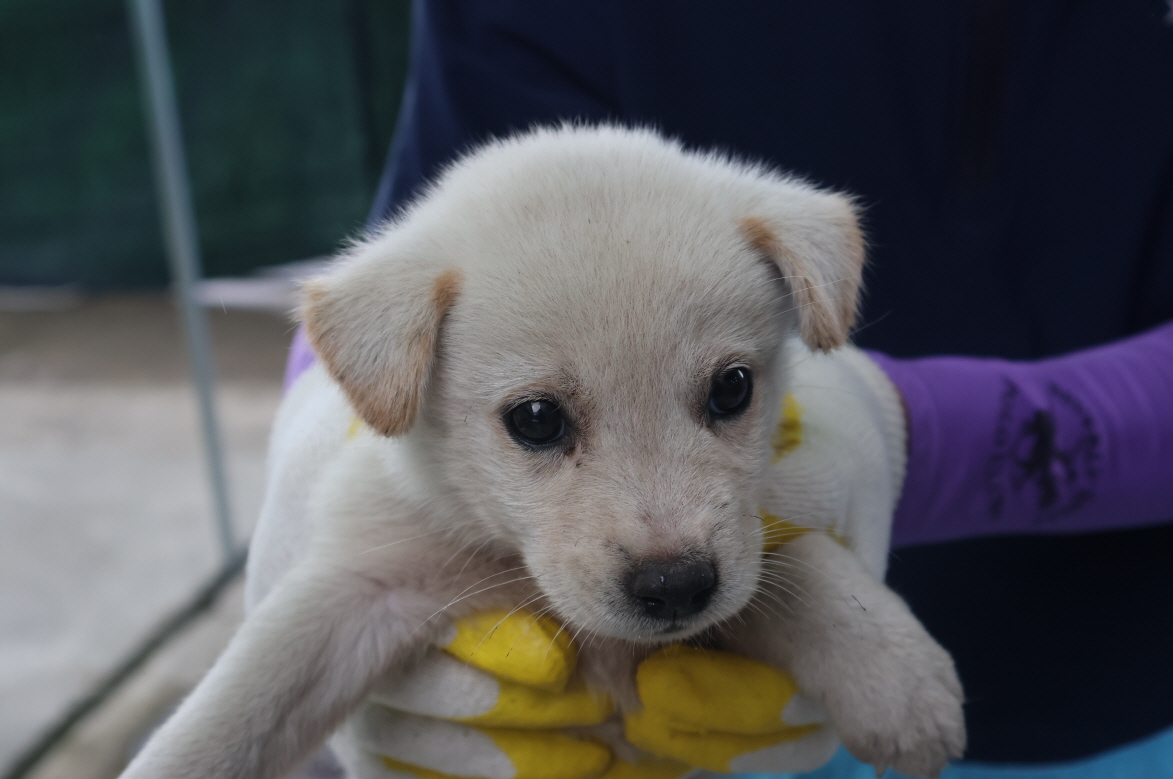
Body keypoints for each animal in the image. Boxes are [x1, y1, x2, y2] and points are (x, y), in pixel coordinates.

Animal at [116, 124, 961, 779]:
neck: (517, 566)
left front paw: (897, 676)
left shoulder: (748, 546)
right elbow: (244, 699)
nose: (675, 588)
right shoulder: (362, 584)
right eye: (535, 419)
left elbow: (804, 562)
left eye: (731, 389)